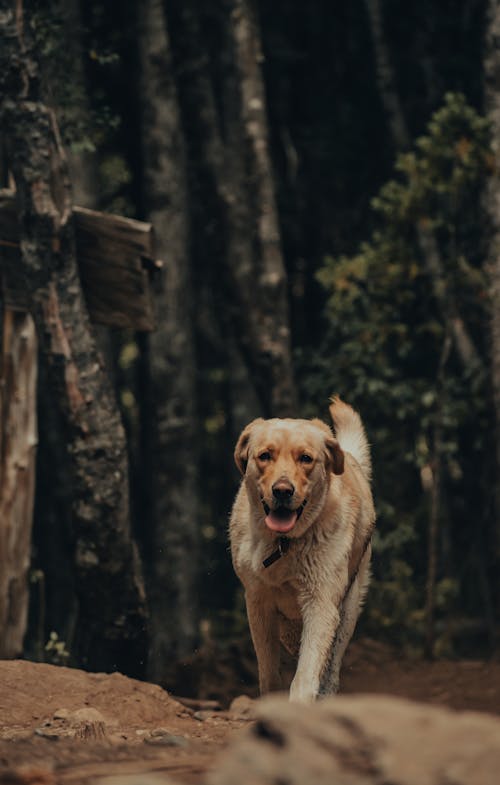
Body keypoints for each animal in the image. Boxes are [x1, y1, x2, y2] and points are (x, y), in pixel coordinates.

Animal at [229, 398, 374, 704]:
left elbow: (307, 674)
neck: (284, 543)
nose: (283, 490)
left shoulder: (322, 602)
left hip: (348, 609)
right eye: (265, 456)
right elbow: (269, 672)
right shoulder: (258, 602)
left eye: (306, 458)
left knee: (330, 668)